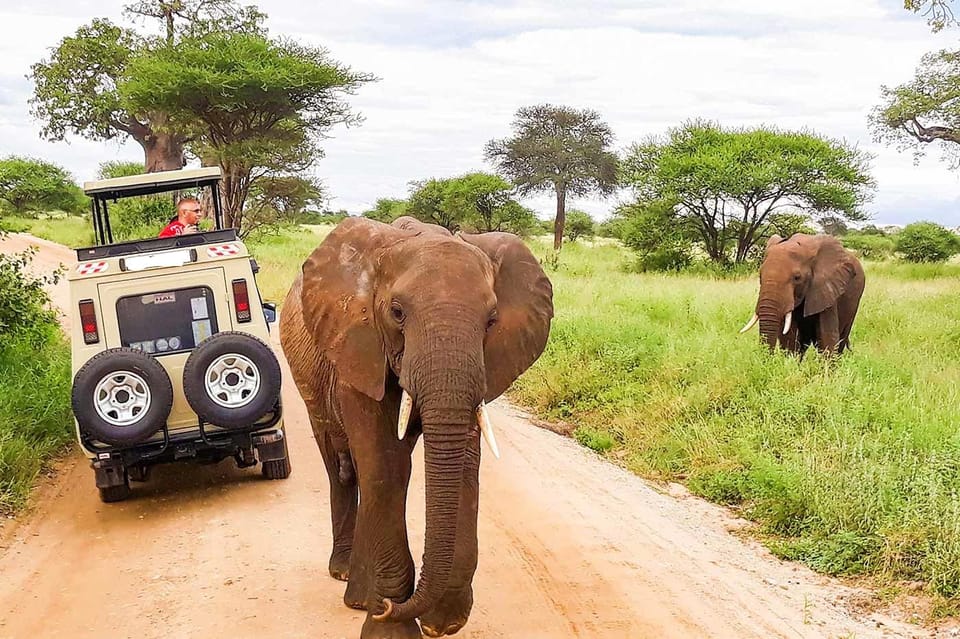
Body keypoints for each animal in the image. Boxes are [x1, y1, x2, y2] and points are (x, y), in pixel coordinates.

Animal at [278, 216, 556, 639]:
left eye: (492, 321)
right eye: (397, 312)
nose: (390, 608)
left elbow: (462, 465)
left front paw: (443, 621)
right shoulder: (357, 347)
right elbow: (383, 465)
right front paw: (389, 626)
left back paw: (361, 597)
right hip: (310, 380)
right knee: (344, 468)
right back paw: (346, 579)